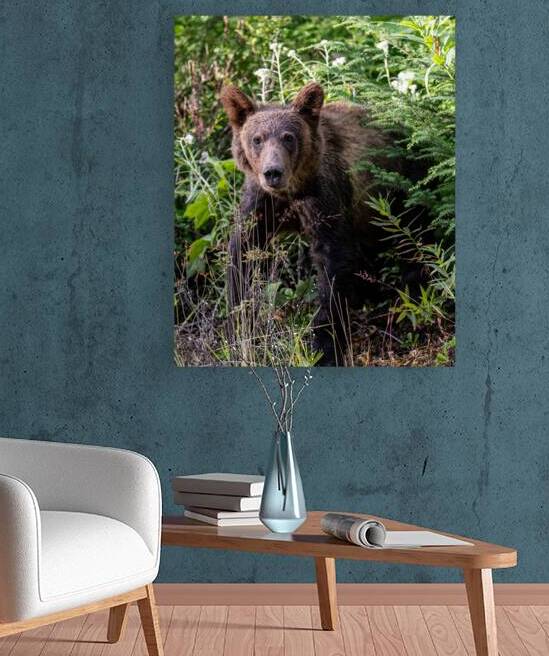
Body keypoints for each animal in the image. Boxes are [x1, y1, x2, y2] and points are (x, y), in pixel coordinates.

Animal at [220, 81, 422, 366]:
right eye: (257, 138)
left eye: (288, 137)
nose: (273, 172)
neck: (292, 191)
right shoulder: (261, 203)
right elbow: (243, 253)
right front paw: (237, 330)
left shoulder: (325, 197)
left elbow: (333, 262)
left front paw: (325, 347)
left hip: (402, 188)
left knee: (414, 240)